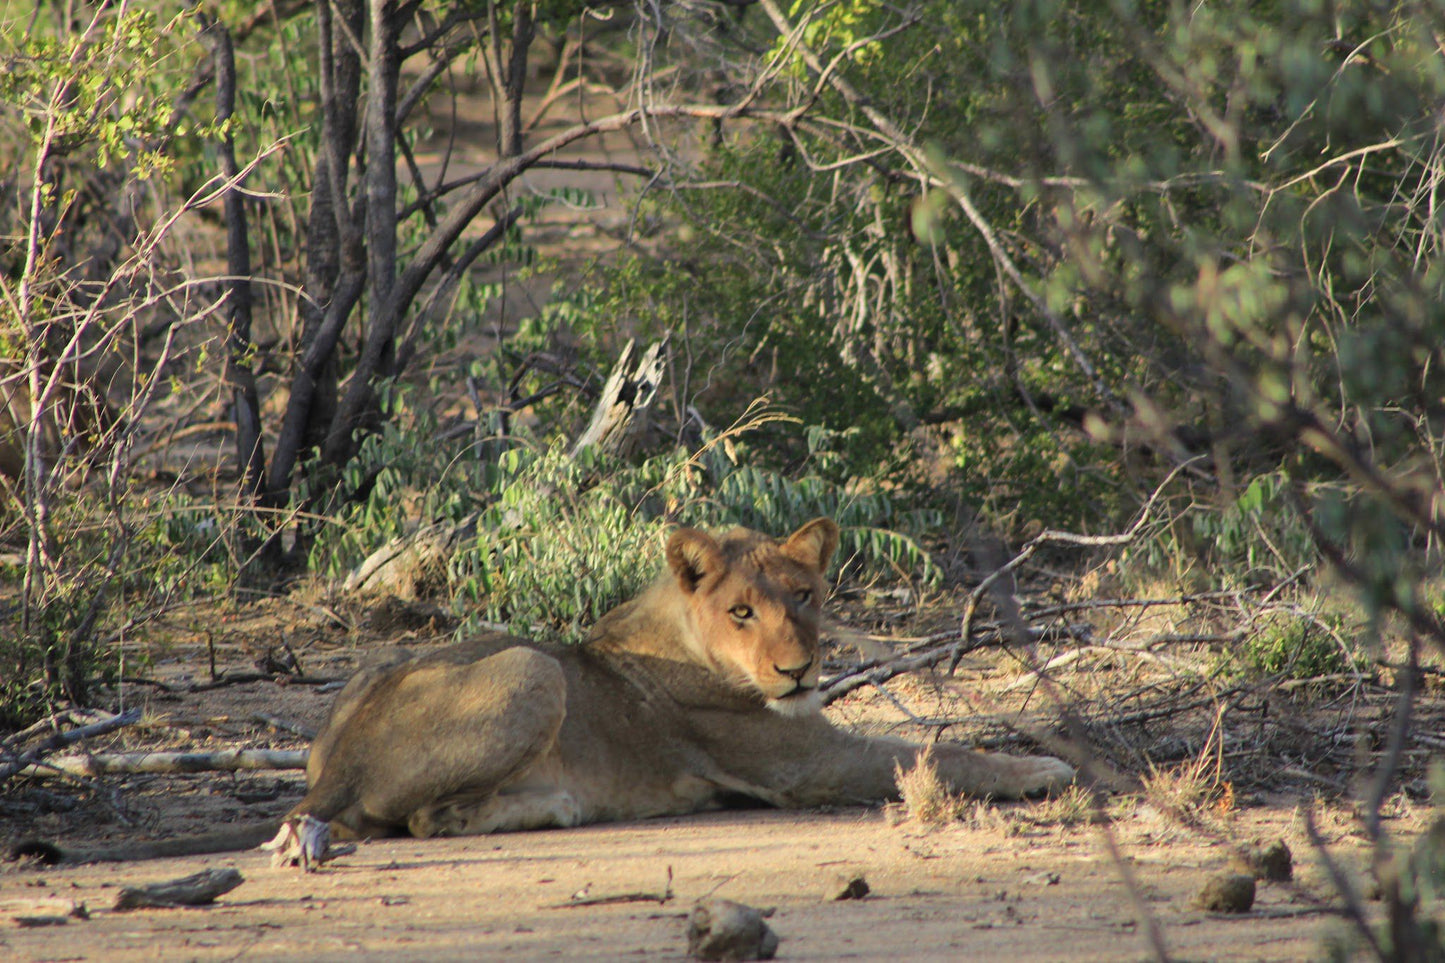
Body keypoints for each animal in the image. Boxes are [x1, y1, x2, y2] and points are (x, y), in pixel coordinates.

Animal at [262, 520, 1075, 867]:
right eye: (741, 611)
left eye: (804, 595)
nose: (798, 671)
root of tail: (341, 754)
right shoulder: (803, 762)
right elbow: (937, 753)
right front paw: (1042, 768)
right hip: (532, 667)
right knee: (424, 818)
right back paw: (557, 806)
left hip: (382, 670)